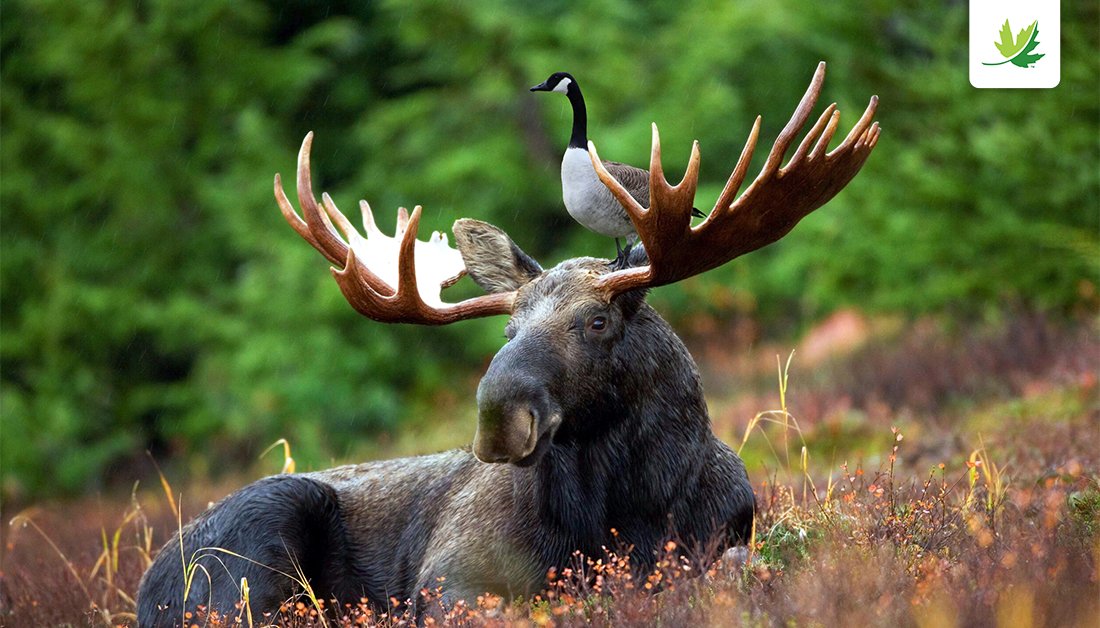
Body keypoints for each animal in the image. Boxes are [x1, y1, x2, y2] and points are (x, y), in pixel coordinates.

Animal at [137, 62, 879, 626]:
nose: (498, 417)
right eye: (508, 329)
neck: (626, 511)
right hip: (255, 547)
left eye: (598, 322)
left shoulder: (725, 539)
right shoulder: (452, 575)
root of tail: (148, 584)